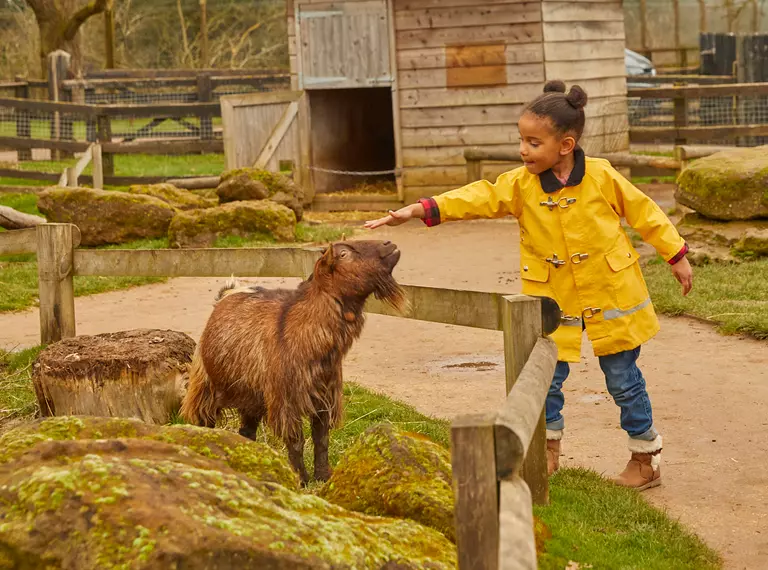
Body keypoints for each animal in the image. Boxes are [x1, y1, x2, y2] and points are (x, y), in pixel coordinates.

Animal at [180, 240, 404, 484]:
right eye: (344, 253)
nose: (390, 244)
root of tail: (227, 294)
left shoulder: (324, 397)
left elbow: (321, 439)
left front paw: (323, 477)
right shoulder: (287, 401)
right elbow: (296, 441)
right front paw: (302, 479)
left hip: (252, 397)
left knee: (247, 431)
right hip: (205, 387)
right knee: (205, 421)